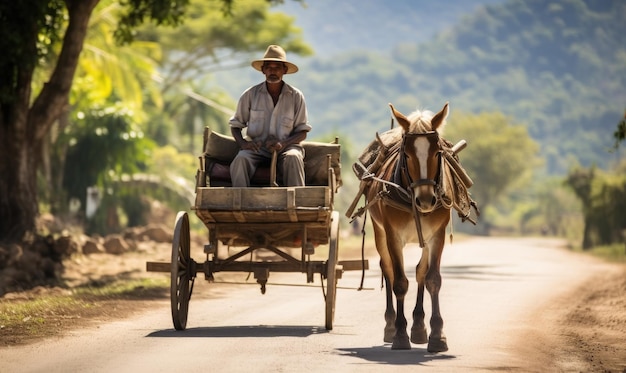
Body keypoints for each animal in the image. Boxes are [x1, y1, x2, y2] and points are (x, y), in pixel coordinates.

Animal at [360, 101, 454, 352]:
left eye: (438, 152)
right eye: (407, 153)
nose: (425, 200)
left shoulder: (437, 235)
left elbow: (432, 279)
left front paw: (437, 335)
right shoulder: (393, 235)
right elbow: (400, 282)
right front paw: (400, 334)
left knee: (420, 272)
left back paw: (419, 326)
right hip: (379, 232)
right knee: (388, 270)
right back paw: (391, 326)